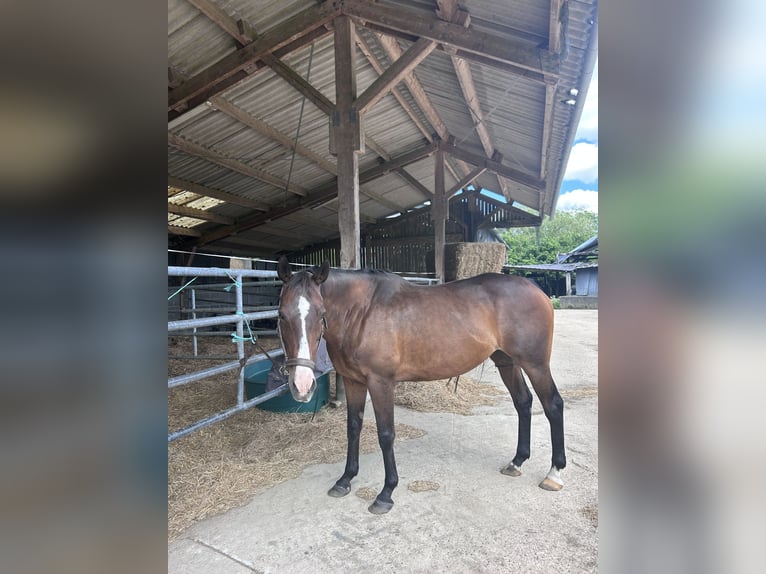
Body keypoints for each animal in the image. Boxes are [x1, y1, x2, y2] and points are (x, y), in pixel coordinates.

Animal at [276, 256, 565, 514]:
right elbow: (353, 428)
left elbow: (386, 434)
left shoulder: (381, 383)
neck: (361, 313)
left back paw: (554, 473)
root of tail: (537, 290)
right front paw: (345, 479)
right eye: (280, 316)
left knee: (553, 405)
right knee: (523, 403)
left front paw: (386, 493)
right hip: (507, 362)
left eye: (321, 313)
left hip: (535, 364)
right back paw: (517, 462)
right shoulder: (353, 381)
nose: (302, 385)